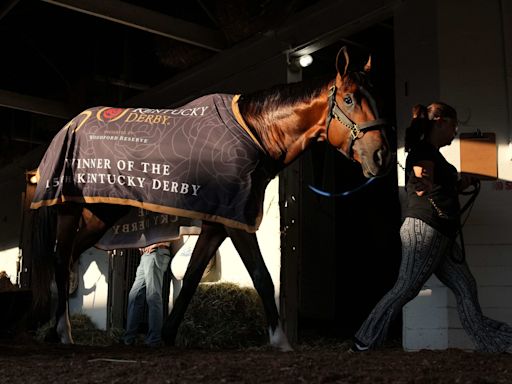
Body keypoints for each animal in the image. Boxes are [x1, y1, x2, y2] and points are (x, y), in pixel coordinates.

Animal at [31, 45, 392, 352]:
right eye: (349, 99)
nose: (381, 156)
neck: (253, 132)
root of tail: (68, 127)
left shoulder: (217, 223)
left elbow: (192, 277)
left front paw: (167, 336)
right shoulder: (237, 221)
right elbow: (261, 275)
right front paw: (281, 341)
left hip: (99, 214)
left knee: (67, 257)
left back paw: (53, 330)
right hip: (71, 208)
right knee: (61, 259)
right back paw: (64, 332)